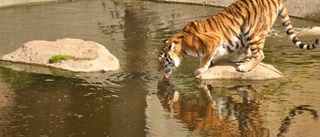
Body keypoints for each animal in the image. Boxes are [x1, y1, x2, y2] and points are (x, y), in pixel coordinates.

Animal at [159, 0, 318, 79]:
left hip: (253, 31)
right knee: (248, 51)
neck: (183, 46)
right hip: (246, 35)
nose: (159, 71)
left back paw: (244, 68)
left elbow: (204, 58)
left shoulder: (213, 41)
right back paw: (235, 59)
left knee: (259, 54)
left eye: (162, 60)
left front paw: (200, 69)